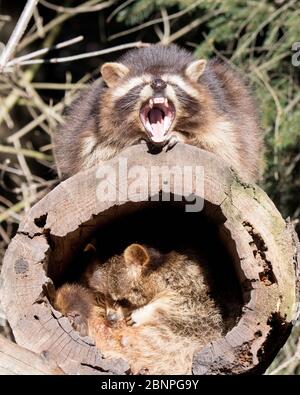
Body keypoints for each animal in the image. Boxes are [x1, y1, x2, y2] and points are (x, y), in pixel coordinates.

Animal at [53, 44, 262, 183]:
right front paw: (129, 141)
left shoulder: (223, 118)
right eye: (143, 83)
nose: (159, 83)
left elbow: (227, 150)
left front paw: (182, 136)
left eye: (172, 82)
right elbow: (90, 154)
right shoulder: (87, 124)